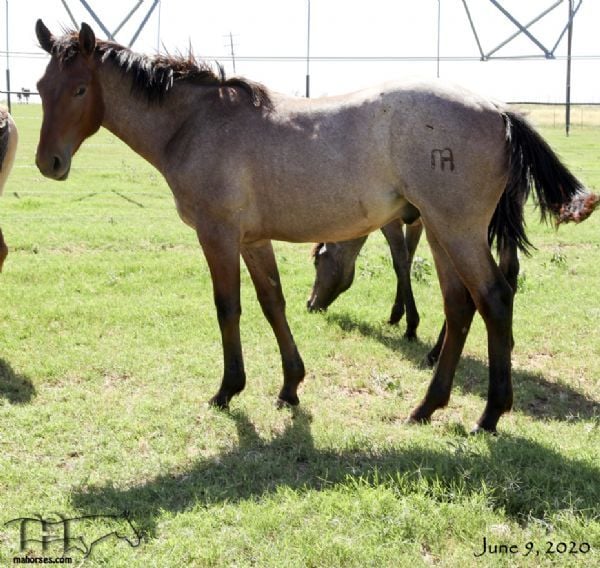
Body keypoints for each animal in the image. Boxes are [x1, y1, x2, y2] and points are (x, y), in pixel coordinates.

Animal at [35, 20, 596, 432]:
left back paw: (489, 414)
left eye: (80, 88)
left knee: (494, 300)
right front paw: (290, 385)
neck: (196, 123)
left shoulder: (218, 236)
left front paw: (228, 389)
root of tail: (500, 110)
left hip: (457, 231)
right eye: (40, 88)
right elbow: (272, 303)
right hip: (440, 231)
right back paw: (426, 407)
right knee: (460, 308)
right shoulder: (253, 239)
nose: (49, 163)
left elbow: (228, 308)